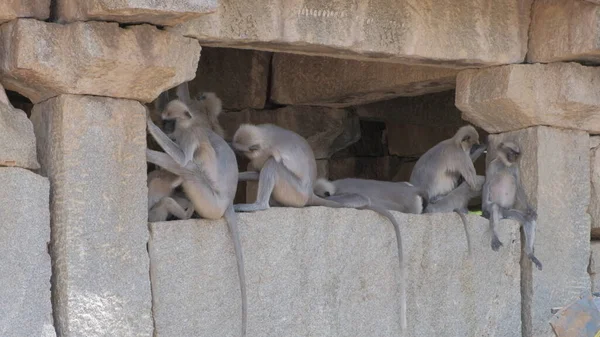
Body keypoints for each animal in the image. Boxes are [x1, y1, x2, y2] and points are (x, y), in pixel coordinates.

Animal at [146, 84, 248, 334]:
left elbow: (183, 159)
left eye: (169, 122)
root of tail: (227, 202)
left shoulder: (188, 135)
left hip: (209, 199)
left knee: (188, 168)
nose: (164, 127)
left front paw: (147, 126)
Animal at [230, 122, 408, 328]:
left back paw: (260, 205)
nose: (236, 153)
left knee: (273, 165)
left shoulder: (264, 152)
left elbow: (266, 165)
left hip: (294, 191)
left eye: (241, 150)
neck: (265, 136)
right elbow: (255, 172)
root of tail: (309, 194)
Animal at [482, 140, 544, 270]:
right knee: (494, 207)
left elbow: (519, 185)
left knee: (528, 218)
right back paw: (494, 237)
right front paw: (483, 210)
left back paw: (529, 253)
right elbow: (487, 183)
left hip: (509, 212)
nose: (513, 158)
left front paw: (530, 209)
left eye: (516, 155)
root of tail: (503, 214)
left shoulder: (515, 167)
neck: (506, 165)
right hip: (500, 209)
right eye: (510, 152)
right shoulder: (493, 165)